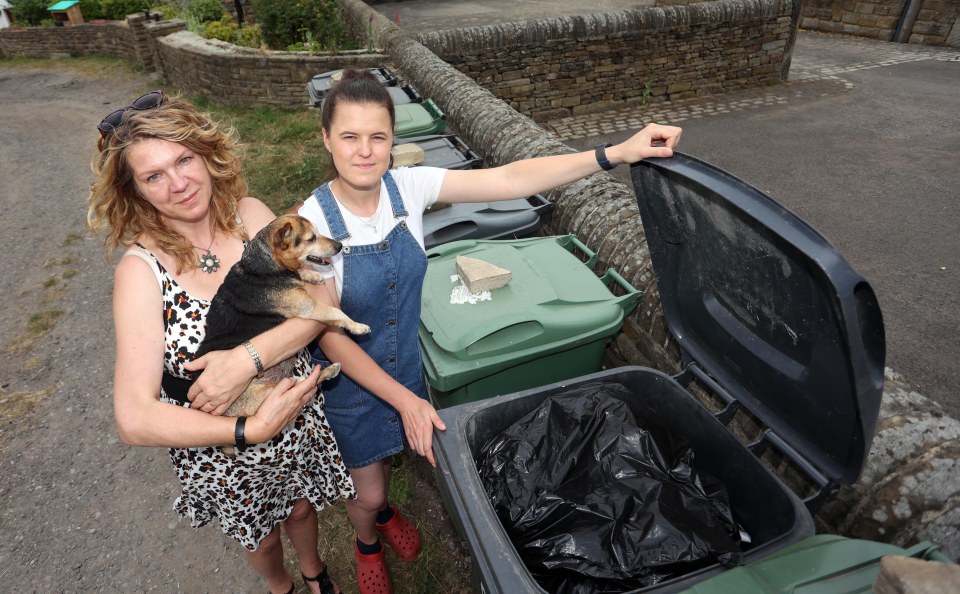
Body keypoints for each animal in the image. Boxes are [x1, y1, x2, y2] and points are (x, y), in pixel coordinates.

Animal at [197, 213, 370, 416]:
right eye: (312, 238)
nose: (340, 246)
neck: (263, 267)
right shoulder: (309, 306)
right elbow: (336, 312)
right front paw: (357, 327)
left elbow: (300, 273)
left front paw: (310, 275)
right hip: (265, 395)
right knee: (301, 387)